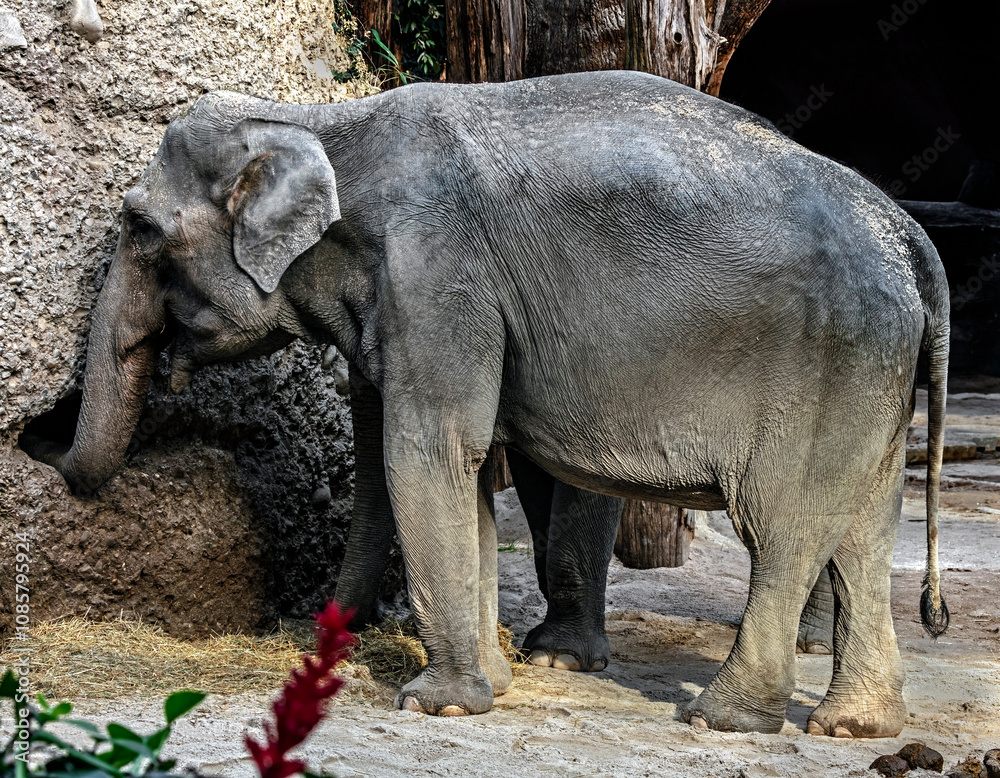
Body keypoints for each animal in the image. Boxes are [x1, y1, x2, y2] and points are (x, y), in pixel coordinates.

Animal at [23, 70, 950, 737]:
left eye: (140, 228)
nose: (37, 435)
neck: (319, 119)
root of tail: (907, 232)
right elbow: (449, 471)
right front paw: (491, 686)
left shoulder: (438, 274)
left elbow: (425, 454)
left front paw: (438, 703)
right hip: (874, 374)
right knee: (863, 530)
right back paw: (853, 727)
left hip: (829, 362)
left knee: (786, 527)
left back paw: (722, 718)